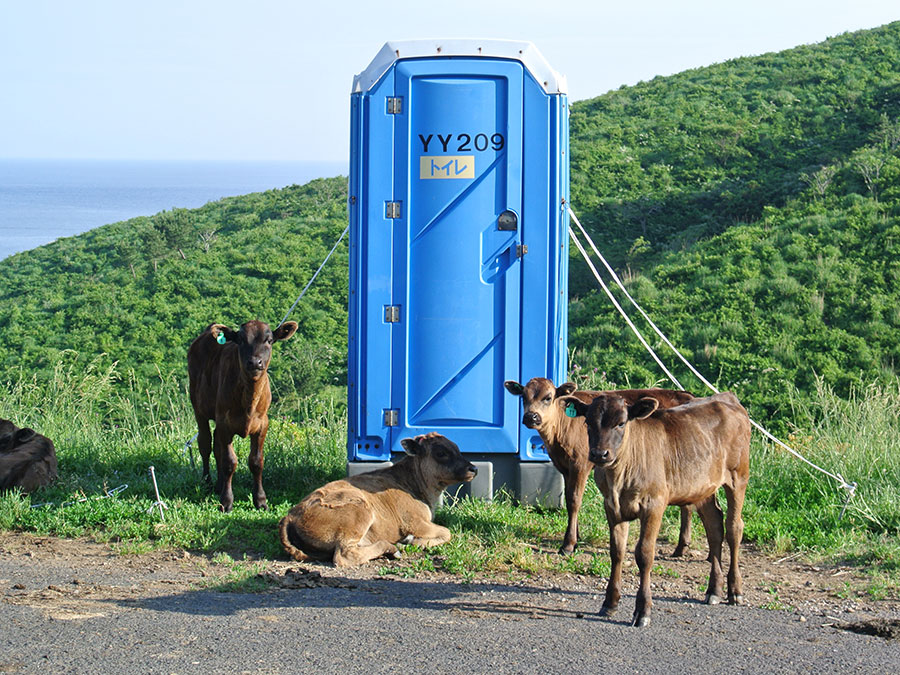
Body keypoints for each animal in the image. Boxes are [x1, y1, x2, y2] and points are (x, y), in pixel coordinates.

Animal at [186, 320, 298, 512]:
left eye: (269, 340)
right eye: (241, 340)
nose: (254, 362)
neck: (249, 401)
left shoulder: (262, 425)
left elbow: (256, 462)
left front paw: (260, 500)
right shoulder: (225, 423)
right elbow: (229, 462)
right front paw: (226, 501)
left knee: (216, 446)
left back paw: (219, 485)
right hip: (198, 407)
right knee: (205, 443)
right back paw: (208, 483)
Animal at [280, 434, 478, 564]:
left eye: (458, 449)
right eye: (441, 453)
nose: (473, 469)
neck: (410, 479)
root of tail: (291, 515)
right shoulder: (416, 523)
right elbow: (446, 532)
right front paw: (411, 541)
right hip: (359, 513)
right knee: (344, 555)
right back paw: (394, 549)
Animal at [506, 378, 696, 556]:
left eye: (548, 397)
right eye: (523, 397)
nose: (531, 416)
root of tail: (687, 395)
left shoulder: (580, 463)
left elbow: (574, 500)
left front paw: (568, 544)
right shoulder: (565, 468)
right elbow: (568, 498)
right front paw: (577, 537)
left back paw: (681, 546)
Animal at [568, 390, 752, 628]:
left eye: (621, 423)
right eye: (588, 422)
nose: (600, 454)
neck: (619, 475)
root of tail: (726, 397)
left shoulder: (654, 504)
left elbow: (644, 554)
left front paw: (643, 610)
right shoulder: (611, 506)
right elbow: (616, 552)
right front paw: (610, 602)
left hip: (739, 476)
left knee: (733, 528)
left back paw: (735, 590)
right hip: (703, 485)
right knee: (714, 527)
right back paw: (714, 590)